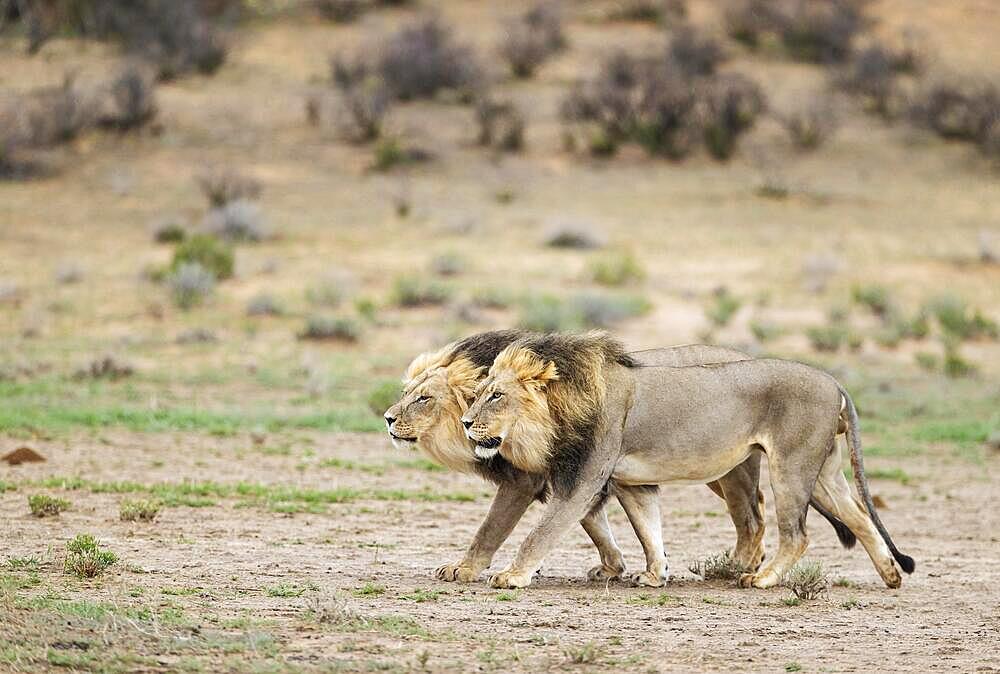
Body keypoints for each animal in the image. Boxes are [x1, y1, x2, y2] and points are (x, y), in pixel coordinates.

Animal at [382, 330, 852, 584]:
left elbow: (497, 528)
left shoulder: (531, 481)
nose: (387, 419)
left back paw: (743, 568)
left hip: (734, 469)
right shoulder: (584, 476)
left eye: (423, 399)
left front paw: (467, 569)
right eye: (406, 393)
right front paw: (616, 567)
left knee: (755, 517)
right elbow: (597, 524)